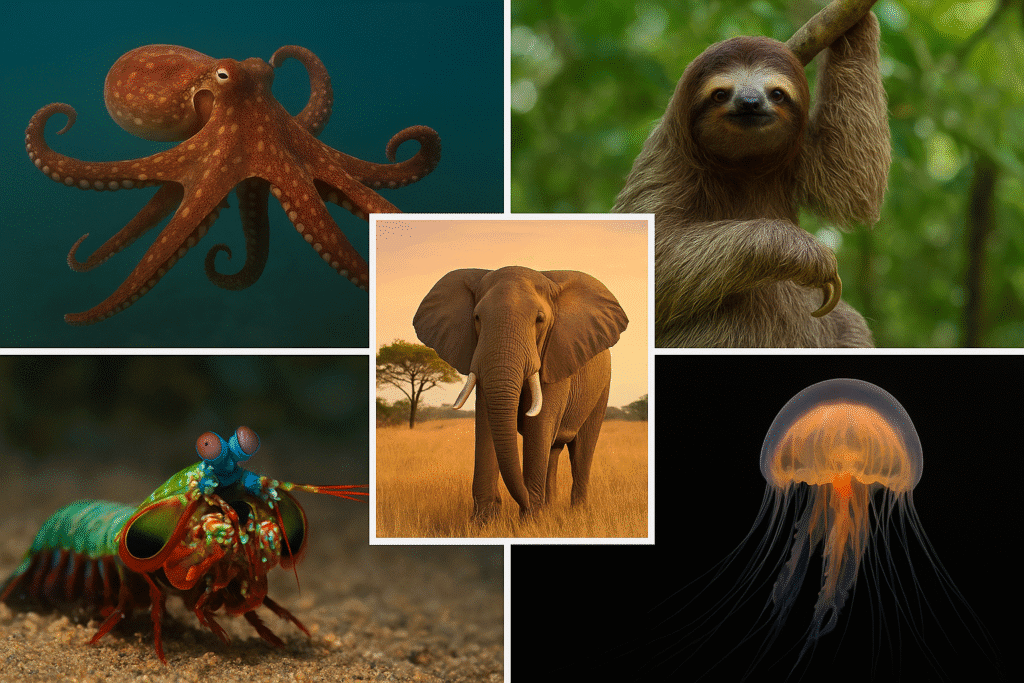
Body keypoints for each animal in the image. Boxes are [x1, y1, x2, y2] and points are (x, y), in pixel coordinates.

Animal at [413, 266, 629, 519]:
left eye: (540, 319)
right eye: (477, 318)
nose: (525, 503)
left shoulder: (555, 355)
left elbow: (540, 423)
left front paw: (531, 520)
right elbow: (487, 421)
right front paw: (484, 522)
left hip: (602, 386)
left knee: (582, 450)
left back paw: (576, 513)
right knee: (553, 450)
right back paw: (550, 508)